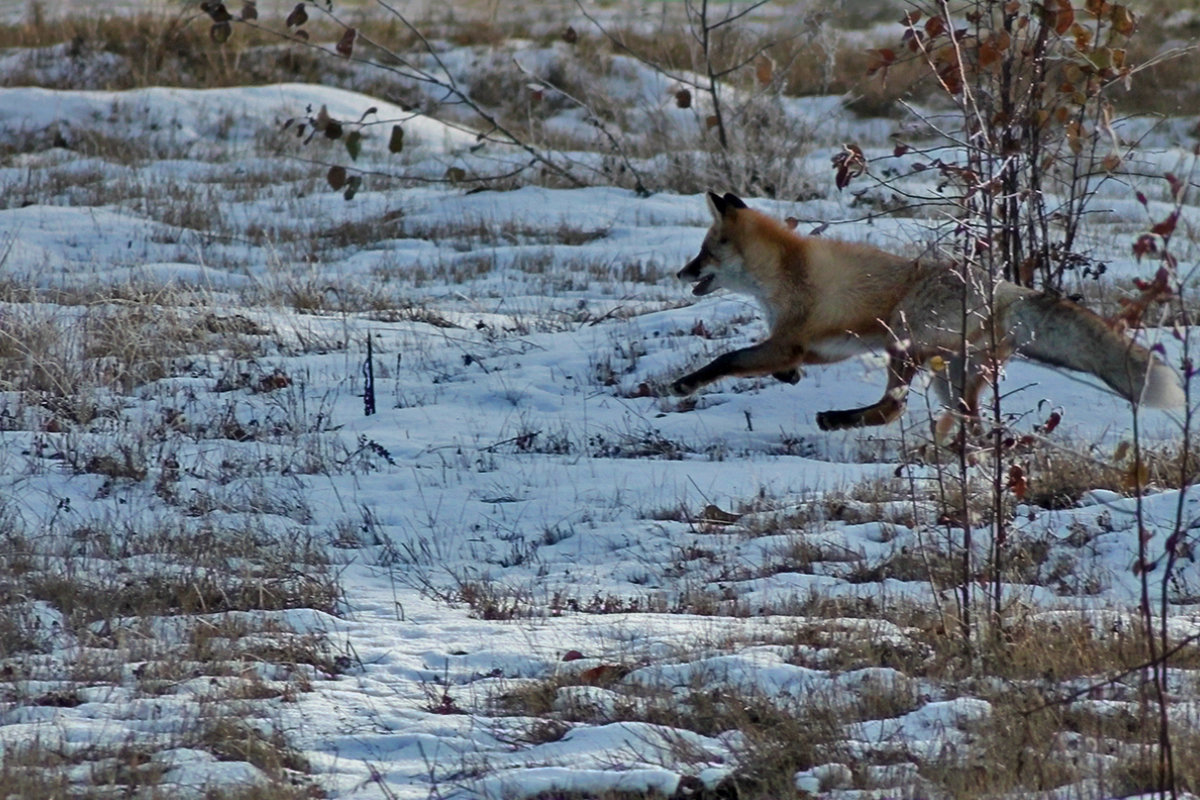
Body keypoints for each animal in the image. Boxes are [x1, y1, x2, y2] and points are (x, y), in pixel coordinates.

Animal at [672, 191, 1185, 431]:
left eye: (703, 253)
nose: (680, 272)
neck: (783, 269)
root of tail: (1005, 288)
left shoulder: (789, 340)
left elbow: (726, 359)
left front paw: (685, 384)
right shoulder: (814, 345)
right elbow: (774, 365)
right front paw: (789, 379)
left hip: (905, 341)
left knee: (890, 410)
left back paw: (838, 419)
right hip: (951, 376)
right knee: (967, 419)